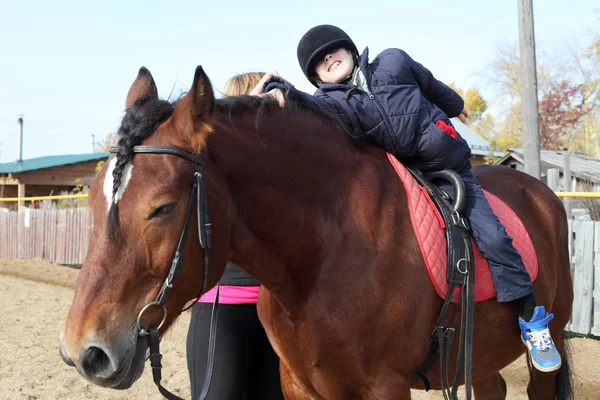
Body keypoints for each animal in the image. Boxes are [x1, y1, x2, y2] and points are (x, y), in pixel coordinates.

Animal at [58, 67, 576, 398]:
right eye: (94, 201)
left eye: (162, 208)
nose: (85, 353)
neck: (325, 255)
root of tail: (541, 191)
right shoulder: (300, 385)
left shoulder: (385, 387)